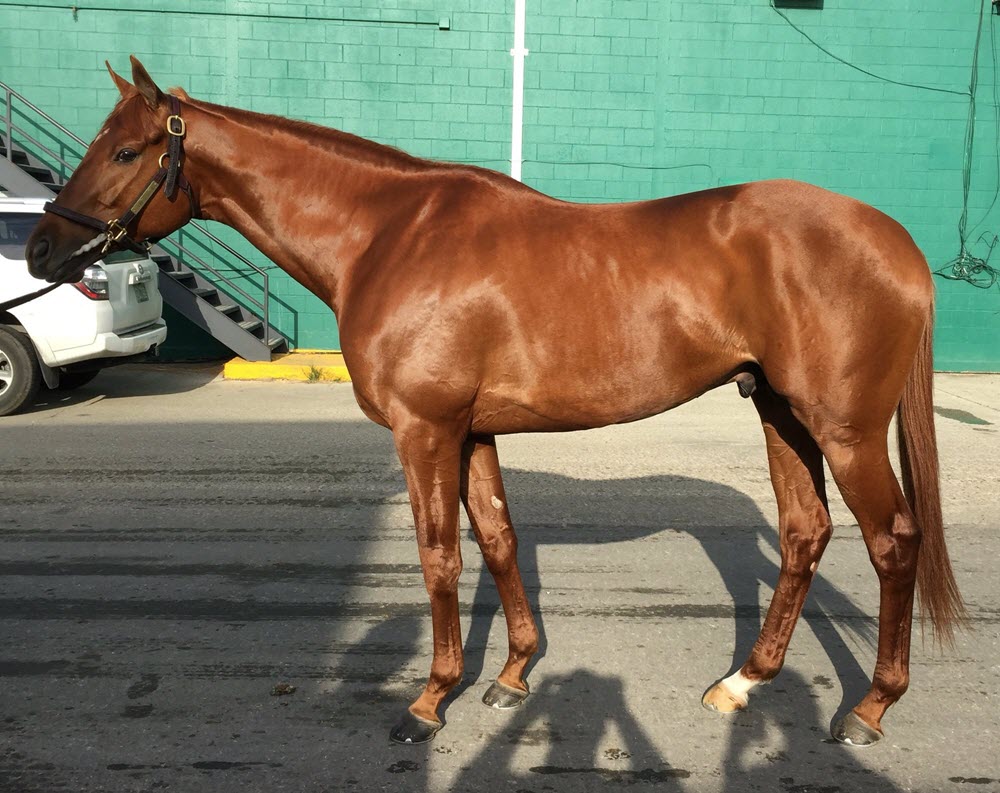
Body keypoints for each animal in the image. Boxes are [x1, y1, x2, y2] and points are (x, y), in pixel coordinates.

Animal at [25, 57, 964, 747]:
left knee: (893, 541)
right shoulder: (471, 431)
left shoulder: (424, 429)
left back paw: (869, 708)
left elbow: (440, 556)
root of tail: (896, 240)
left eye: (124, 152)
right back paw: (744, 682)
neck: (388, 234)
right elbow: (499, 540)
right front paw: (512, 676)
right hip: (781, 413)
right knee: (806, 533)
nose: (40, 250)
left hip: (844, 430)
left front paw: (429, 699)